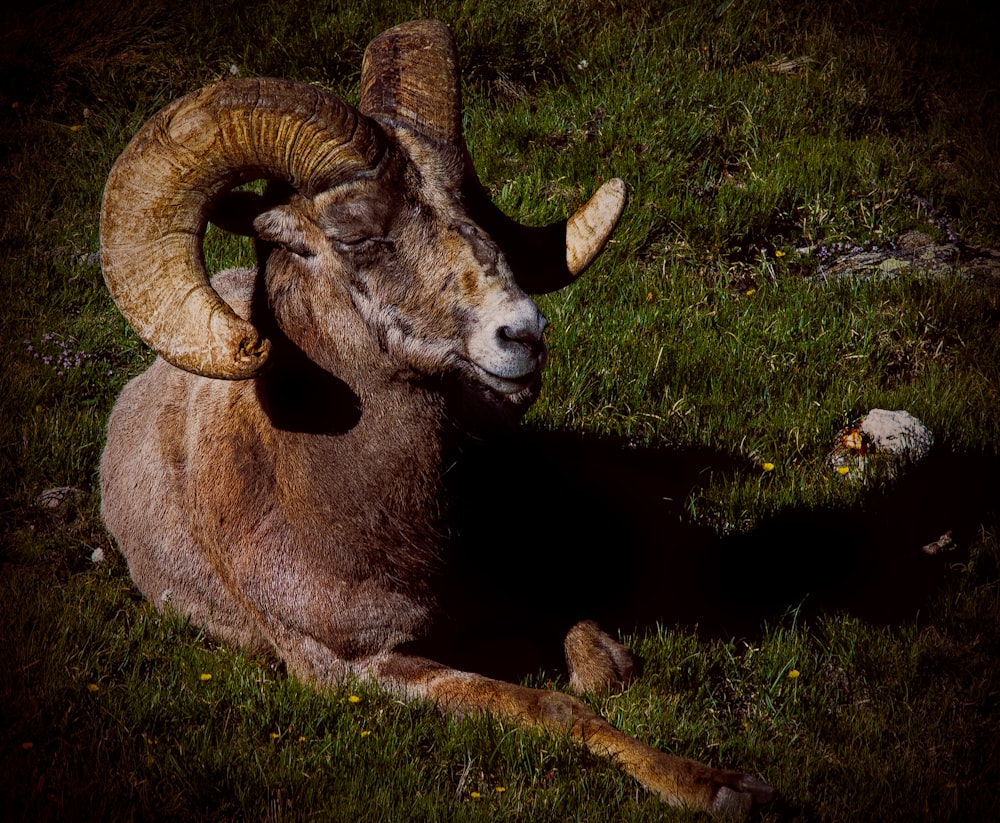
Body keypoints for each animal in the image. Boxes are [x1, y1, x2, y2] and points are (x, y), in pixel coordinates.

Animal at [99, 19, 772, 816]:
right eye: (357, 235)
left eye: (470, 209)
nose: (523, 335)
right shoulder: (361, 666)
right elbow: (556, 706)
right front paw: (724, 791)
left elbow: (607, 668)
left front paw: (727, 783)